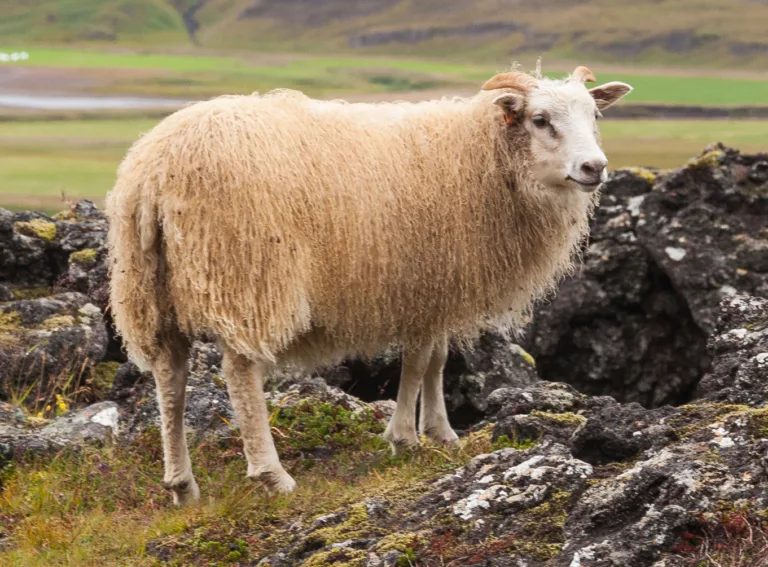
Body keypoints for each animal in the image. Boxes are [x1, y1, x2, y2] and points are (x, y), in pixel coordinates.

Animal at [106, 65, 632, 505]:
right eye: (541, 120)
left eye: (594, 115)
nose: (595, 167)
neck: (478, 156)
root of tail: (154, 171)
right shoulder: (421, 281)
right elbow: (418, 362)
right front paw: (404, 438)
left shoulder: (438, 285)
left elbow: (437, 360)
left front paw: (441, 433)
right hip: (247, 275)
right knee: (240, 374)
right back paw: (273, 475)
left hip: (150, 288)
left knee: (170, 378)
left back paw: (182, 486)